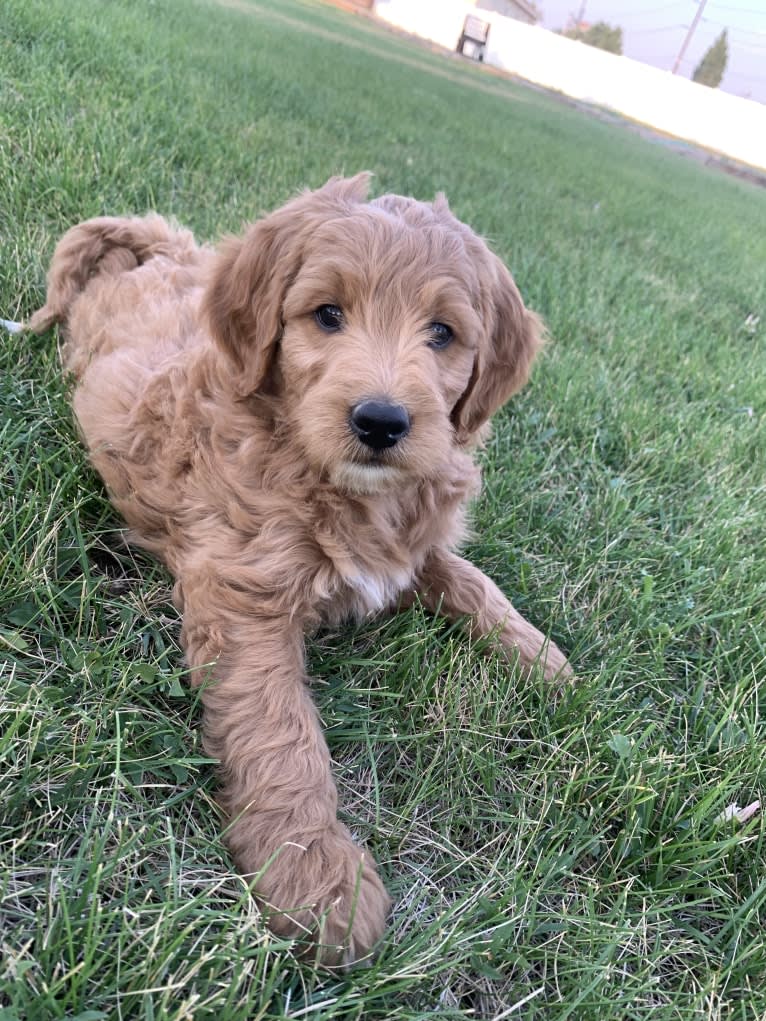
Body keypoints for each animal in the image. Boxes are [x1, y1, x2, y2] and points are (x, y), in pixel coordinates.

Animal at [31, 173, 571, 963]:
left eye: (442, 332)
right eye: (327, 315)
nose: (381, 422)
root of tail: (161, 253)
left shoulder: (412, 546)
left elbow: (471, 580)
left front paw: (544, 661)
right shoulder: (243, 593)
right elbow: (280, 731)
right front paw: (317, 878)